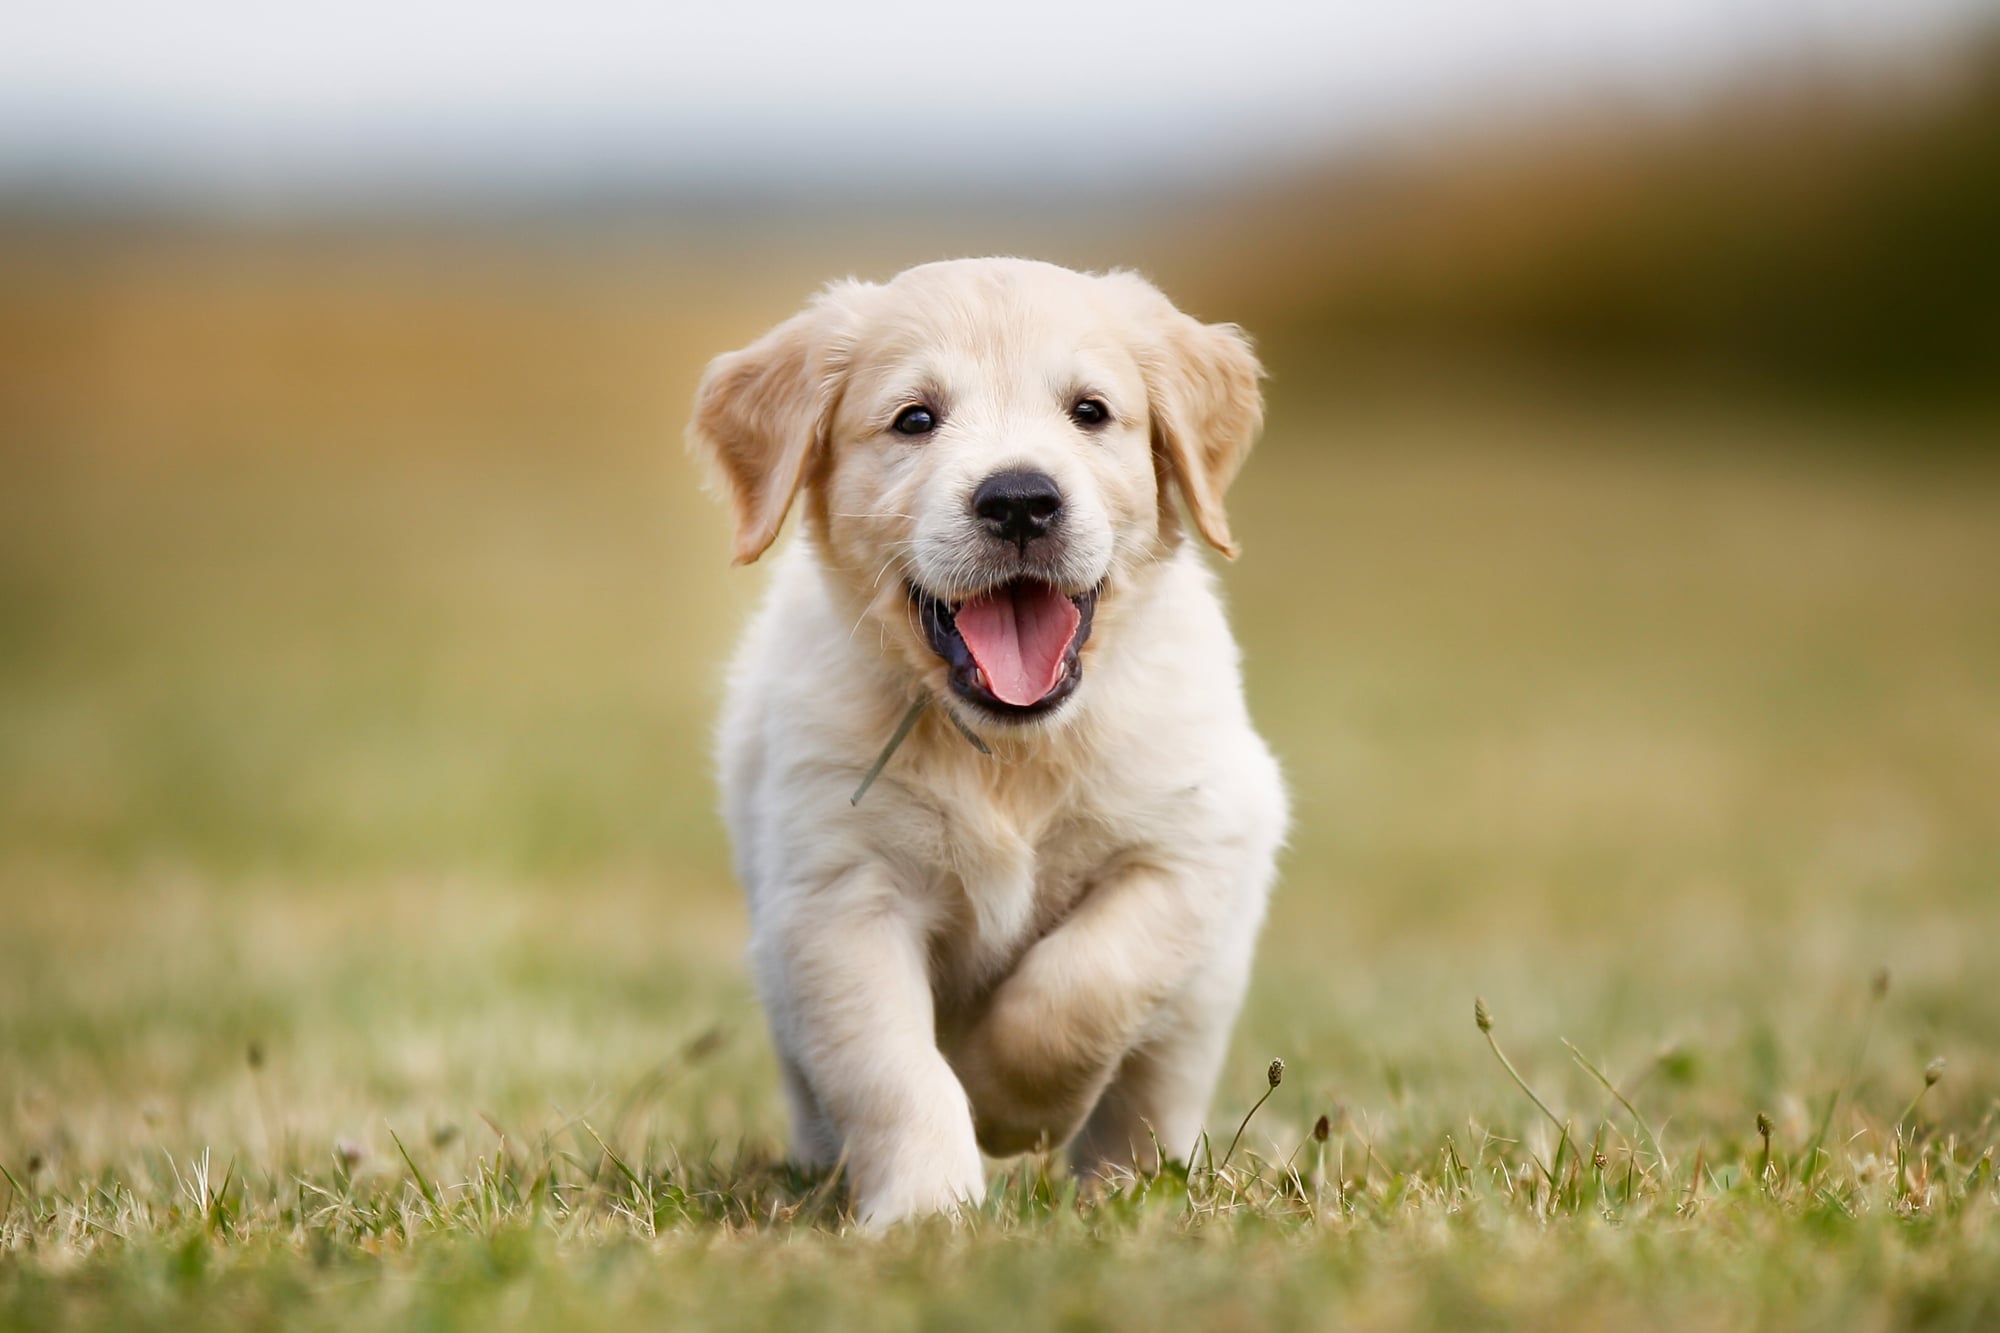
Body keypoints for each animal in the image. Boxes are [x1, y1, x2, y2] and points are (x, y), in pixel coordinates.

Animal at [688, 254, 1280, 1216]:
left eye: (1090, 411)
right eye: (915, 419)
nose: (1020, 500)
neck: (1011, 750)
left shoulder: (1191, 846)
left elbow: (1083, 983)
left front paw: (1007, 1104)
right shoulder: (837, 898)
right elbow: (894, 1069)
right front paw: (928, 1209)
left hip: (1203, 995)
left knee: (1152, 1088)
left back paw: (1130, 1184)